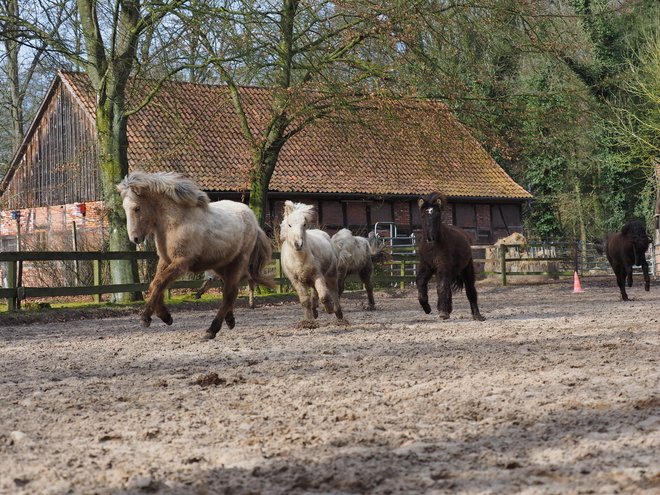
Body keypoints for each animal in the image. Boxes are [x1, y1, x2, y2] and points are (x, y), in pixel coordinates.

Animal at [117, 171, 274, 340]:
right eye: (124, 208)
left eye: (137, 208)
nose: (135, 239)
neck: (176, 222)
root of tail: (254, 221)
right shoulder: (165, 260)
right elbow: (155, 285)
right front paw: (166, 316)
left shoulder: (182, 262)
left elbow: (159, 284)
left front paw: (146, 318)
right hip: (221, 266)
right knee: (231, 290)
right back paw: (229, 320)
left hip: (238, 262)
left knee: (229, 294)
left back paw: (211, 330)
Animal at [278, 200, 342, 328]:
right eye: (289, 225)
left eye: (304, 224)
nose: (298, 244)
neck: (299, 259)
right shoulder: (296, 281)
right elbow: (305, 301)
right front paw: (309, 321)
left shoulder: (318, 275)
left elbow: (324, 296)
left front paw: (329, 310)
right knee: (314, 292)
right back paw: (314, 311)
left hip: (331, 273)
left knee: (333, 290)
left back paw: (338, 312)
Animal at [418, 190, 484, 322]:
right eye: (423, 216)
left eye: (438, 215)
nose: (430, 238)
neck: (432, 248)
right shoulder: (427, 266)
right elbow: (421, 282)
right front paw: (427, 307)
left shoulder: (443, 265)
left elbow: (442, 286)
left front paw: (443, 311)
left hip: (467, 269)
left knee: (470, 291)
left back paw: (477, 315)